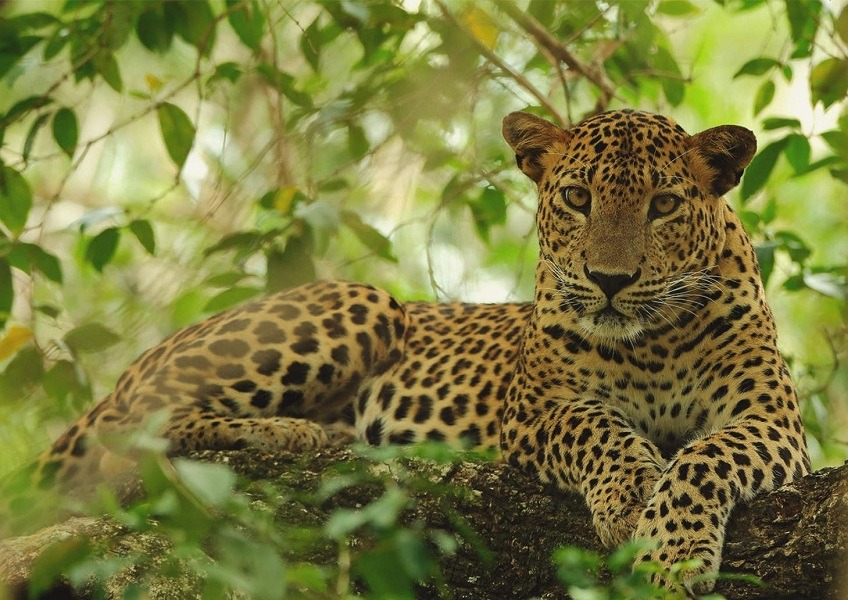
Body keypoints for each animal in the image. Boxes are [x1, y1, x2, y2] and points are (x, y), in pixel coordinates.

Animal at [13, 110, 808, 592]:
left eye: (664, 206)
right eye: (577, 198)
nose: (609, 281)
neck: (650, 343)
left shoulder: (772, 423)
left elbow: (703, 459)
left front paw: (671, 553)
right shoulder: (537, 411)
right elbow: (600, 427)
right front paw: (630, 493)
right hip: (364, 303)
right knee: (133, 432)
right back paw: (290, 432)